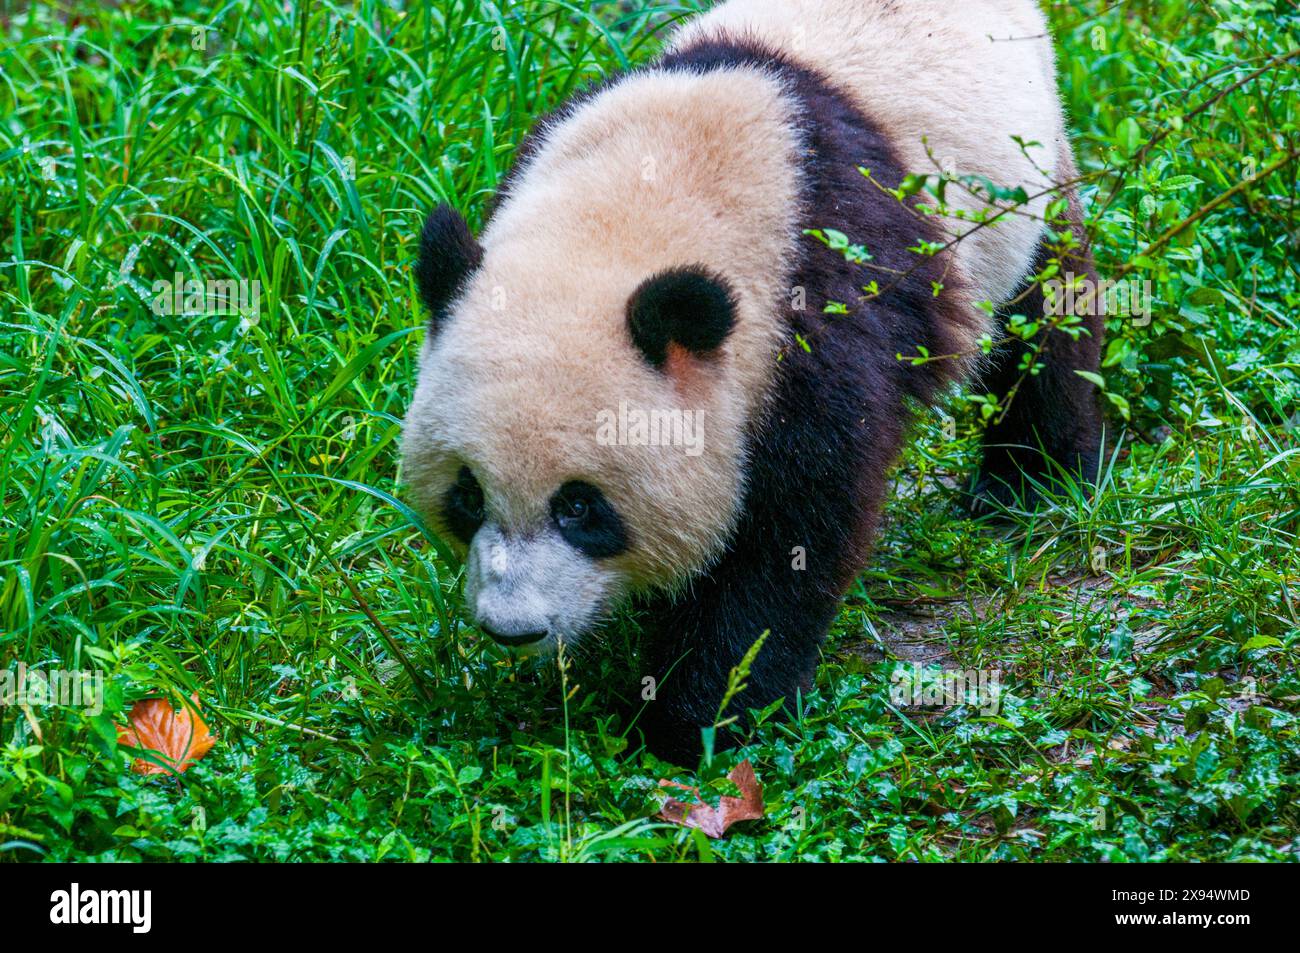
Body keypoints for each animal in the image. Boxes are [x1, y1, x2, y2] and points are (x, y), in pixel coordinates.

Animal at [400, 0, 1102, 759]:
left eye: (581, 507)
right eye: (467, 495)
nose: (512, 628)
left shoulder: (812, 320)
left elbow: (791, 532)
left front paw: (699, 719)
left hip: (1026, 177)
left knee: (1046, 318)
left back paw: (1031, 481)